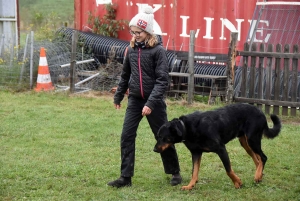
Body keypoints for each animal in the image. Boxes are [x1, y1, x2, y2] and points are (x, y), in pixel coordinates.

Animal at [154, 103, 282, 190]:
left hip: (252, 140)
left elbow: (228, 170)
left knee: (263, 157)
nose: (154, 149)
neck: (186, 127)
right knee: (258, 159)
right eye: (158, 136)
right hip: (245, 143)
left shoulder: (221, 149)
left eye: (162, 137)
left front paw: (238, 182)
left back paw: (257, 176)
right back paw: (259, 176)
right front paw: (190, 186)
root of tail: (261, 112)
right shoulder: (196, 153)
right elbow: (194, 172)